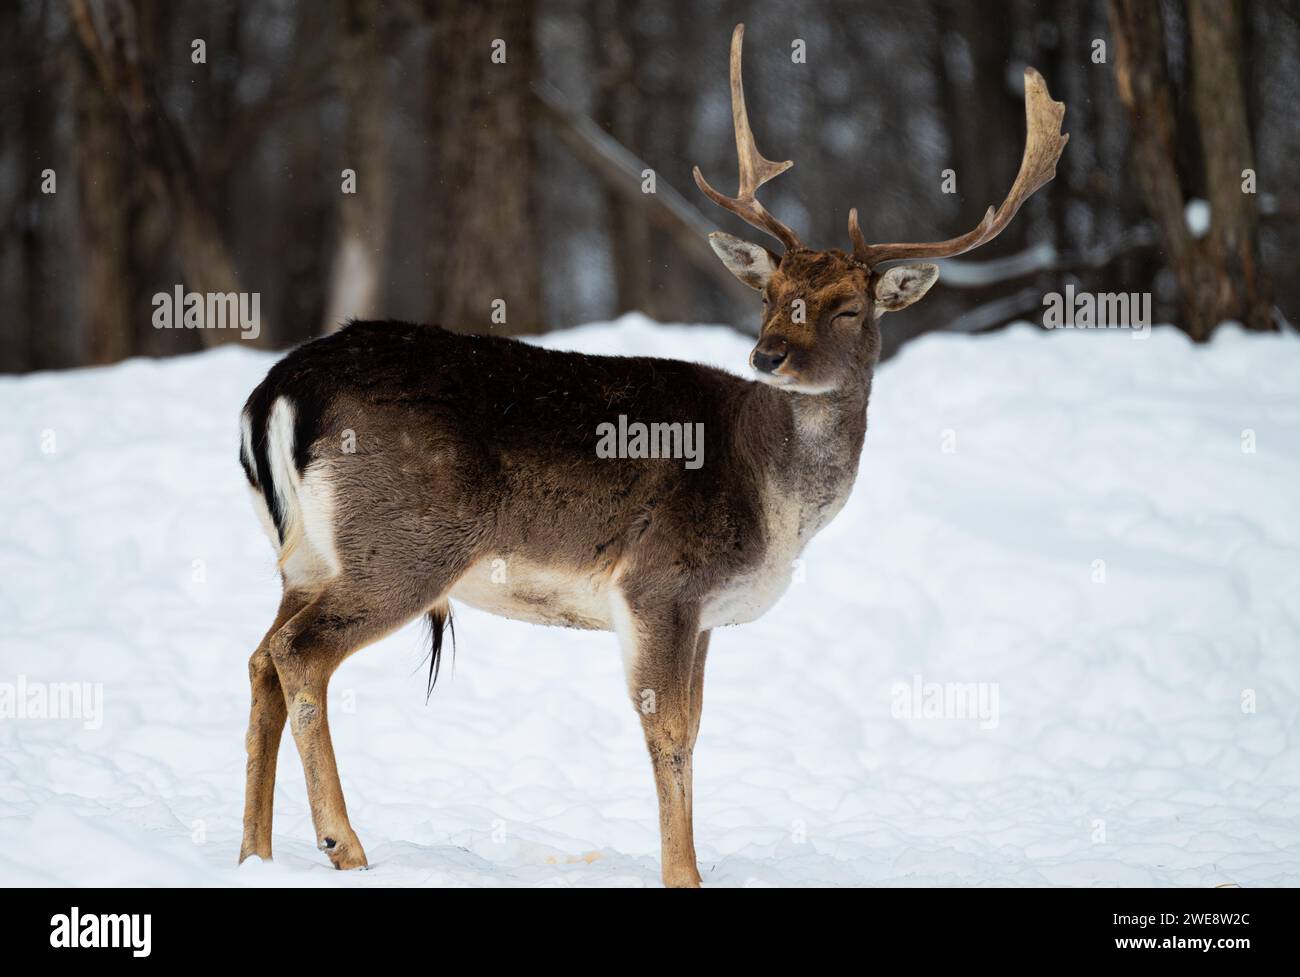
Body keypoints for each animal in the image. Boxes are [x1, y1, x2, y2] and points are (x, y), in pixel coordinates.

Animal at [236, 20, 1066, 883]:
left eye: (846, 307)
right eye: (771, 297)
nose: (768, 354)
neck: (777, 505)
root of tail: (278, 391)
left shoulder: (701, 614)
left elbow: (693, 728)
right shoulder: (658, 582)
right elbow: (669, 732)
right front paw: (684, 872)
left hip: (308, 558)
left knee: (260, 658)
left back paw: (254, 849)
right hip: (402, 546)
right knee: (298, 653)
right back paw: (344, 842)